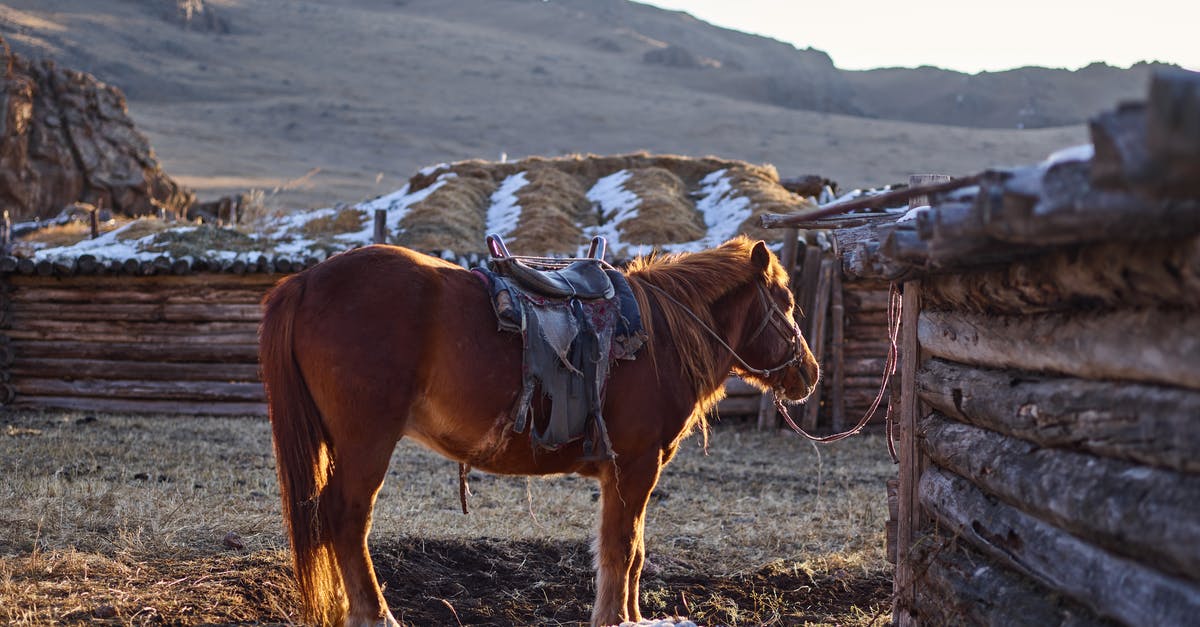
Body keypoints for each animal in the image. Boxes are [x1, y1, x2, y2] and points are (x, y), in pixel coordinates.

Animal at [258, 235, 820, 624]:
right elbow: (623, 548)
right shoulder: (635, 467)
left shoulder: (626, 473)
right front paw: (617, 619)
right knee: (347, 518)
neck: (660, 338)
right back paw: (375, 615)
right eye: (788, 303)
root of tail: (306, 281)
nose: (808, 373)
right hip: (366, 443)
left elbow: (631, 551)